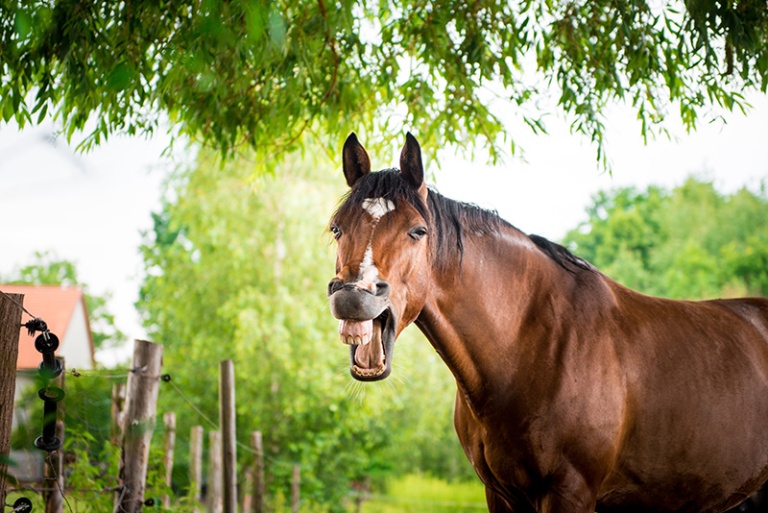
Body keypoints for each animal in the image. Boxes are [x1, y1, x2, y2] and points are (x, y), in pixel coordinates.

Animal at [326, 132, 768, 512]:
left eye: (417, 231)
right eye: (336, 228)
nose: (353, 296)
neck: (530, 346)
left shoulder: (570, 492)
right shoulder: (500, 495)